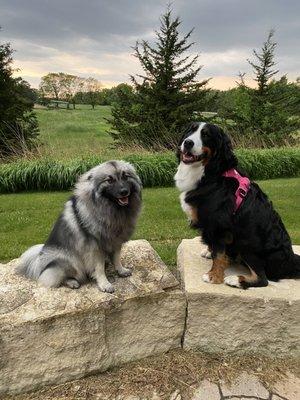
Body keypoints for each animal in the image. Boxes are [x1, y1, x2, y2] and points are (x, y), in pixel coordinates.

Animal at [15, 160, 142, 294]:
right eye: (109, 180)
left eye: (125, 176)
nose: (124, 191)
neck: (112, 210)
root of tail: (39, 260)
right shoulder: (95, 247)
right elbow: (99, 268)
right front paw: (104, 284)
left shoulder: (116, 241)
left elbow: (117, 258)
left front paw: (121, 270)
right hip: (70, 261)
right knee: (55, 278)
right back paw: (72, 282)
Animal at [175, 121, 298, 288]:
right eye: (189, 131)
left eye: (206, 135)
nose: (188, 143)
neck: (211, 173)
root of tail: (290, 261)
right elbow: (216, 248)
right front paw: (209, 252)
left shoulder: (220, 224)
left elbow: (219, 253)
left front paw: (214, 276)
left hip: (246, 242)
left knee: (262, 279)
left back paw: (235, 279)